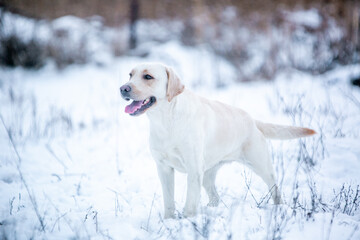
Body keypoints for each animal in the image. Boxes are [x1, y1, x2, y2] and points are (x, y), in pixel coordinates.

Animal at [119, 62, 314, 218]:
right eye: (130, 75)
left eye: (148, 76)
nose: (123, 88)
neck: (166, 120)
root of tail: (252, 119)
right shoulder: (164, 168)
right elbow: (169, 201)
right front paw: (169, 221)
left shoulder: (193, 170)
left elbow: (190, 204)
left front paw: (188, 221)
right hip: (207, 175)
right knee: (215, 197)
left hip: (262, 167)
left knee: (275, 189)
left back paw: (279, 209)